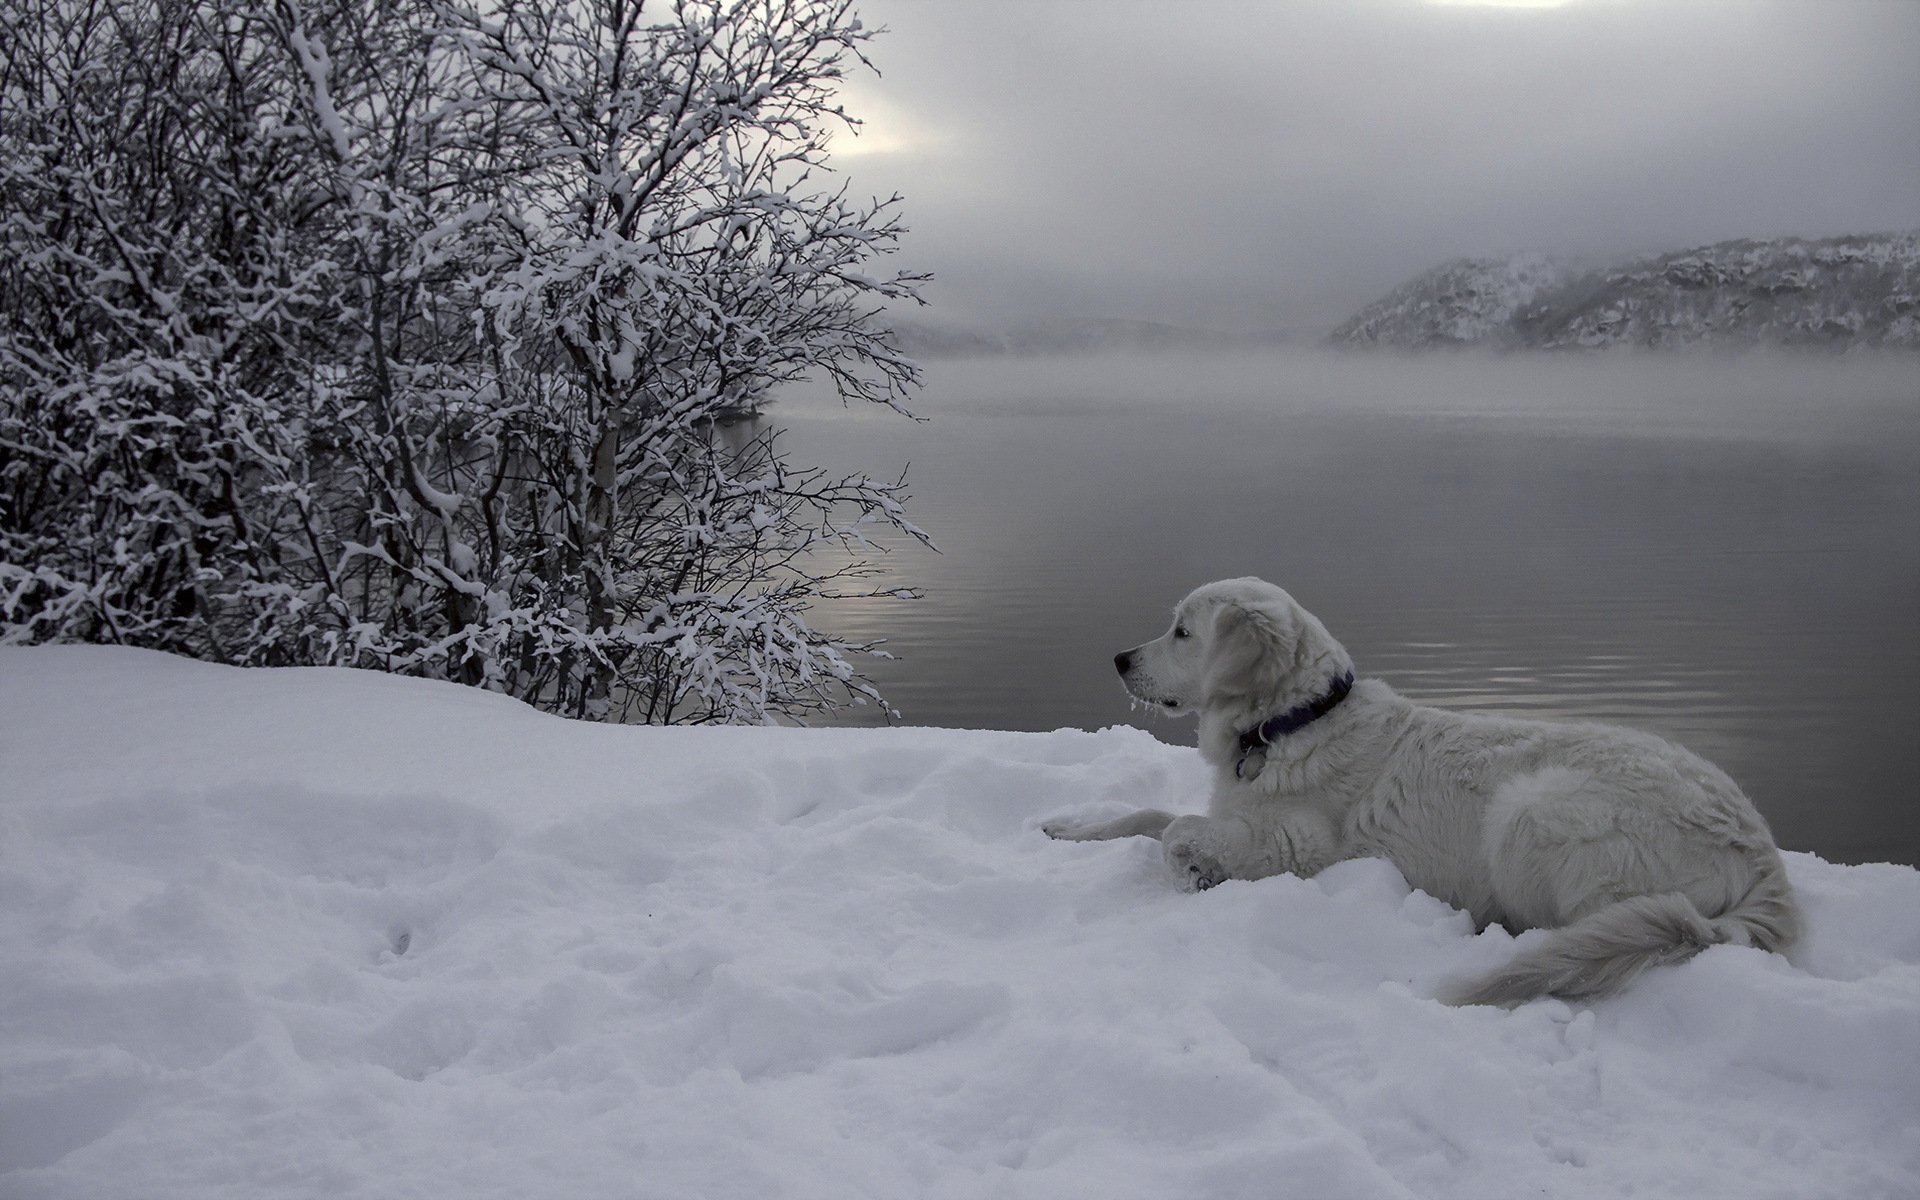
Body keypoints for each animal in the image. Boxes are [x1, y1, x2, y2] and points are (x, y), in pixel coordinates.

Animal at [1044, 579, 1789, 998]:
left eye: (1182, 631)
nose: (1119, 659)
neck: (1291, 722)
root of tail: (1761, 850)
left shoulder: (1297, 844)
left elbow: (1175, 831)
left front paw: (1196, 875)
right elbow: (1145, 812)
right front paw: (1068, 828)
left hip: (1531, 811)